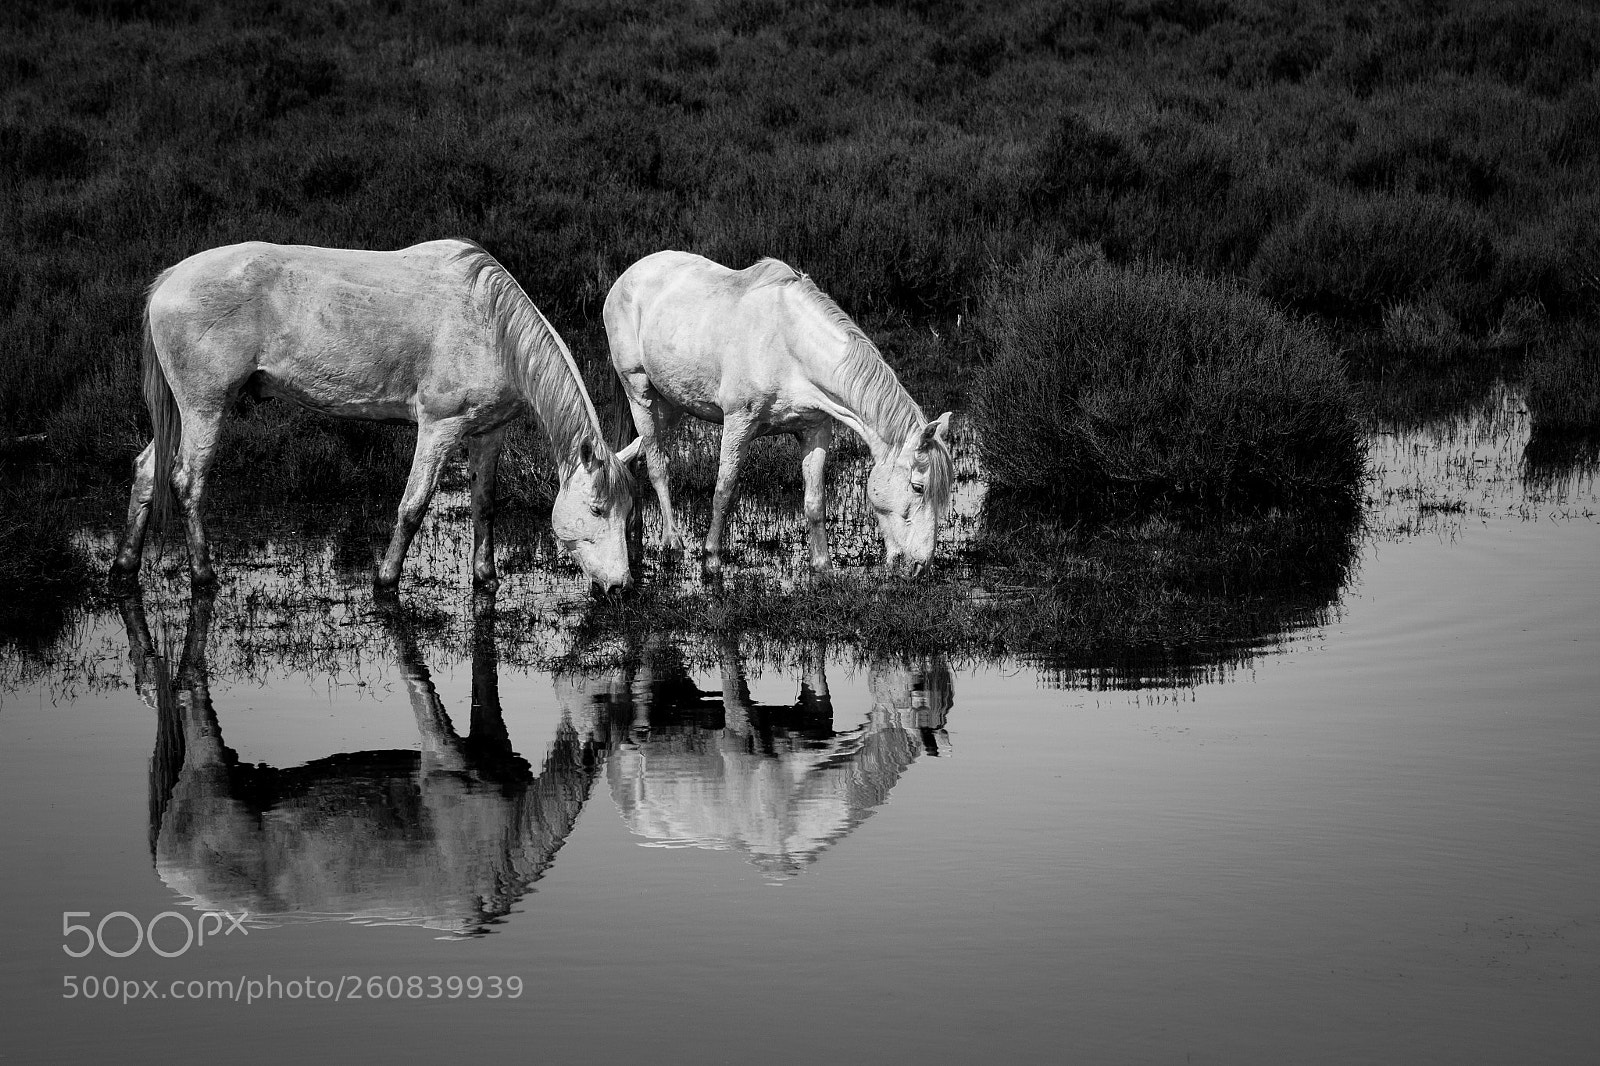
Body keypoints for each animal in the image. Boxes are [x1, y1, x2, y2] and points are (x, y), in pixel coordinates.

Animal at [109, 240, 639, 593]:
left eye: (628, 511)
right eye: (597, 510)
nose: (621, 586)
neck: (492, 325)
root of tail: (168, 281)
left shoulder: (487, 432)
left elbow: (485, 503)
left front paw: (485, 578)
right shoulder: (439, 428)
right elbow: (413, 506)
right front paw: (386, 580)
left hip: (186, 411)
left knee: (148, 469)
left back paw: (124, 565)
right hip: (206, 407)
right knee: (187, 480)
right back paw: (203, 575)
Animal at [603, 251, 953, 578]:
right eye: (918, 487)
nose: (919, 567)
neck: (790, 345)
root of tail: (626, 277)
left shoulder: (815, 431)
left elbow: (814, 501)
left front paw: (823, 566)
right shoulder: (738, 424)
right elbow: (723, 492)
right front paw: (712, 561)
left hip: (673, 405)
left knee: (638, 456)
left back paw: (634, 530)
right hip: (639, 393)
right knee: (657, 466)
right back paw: (673, 541)